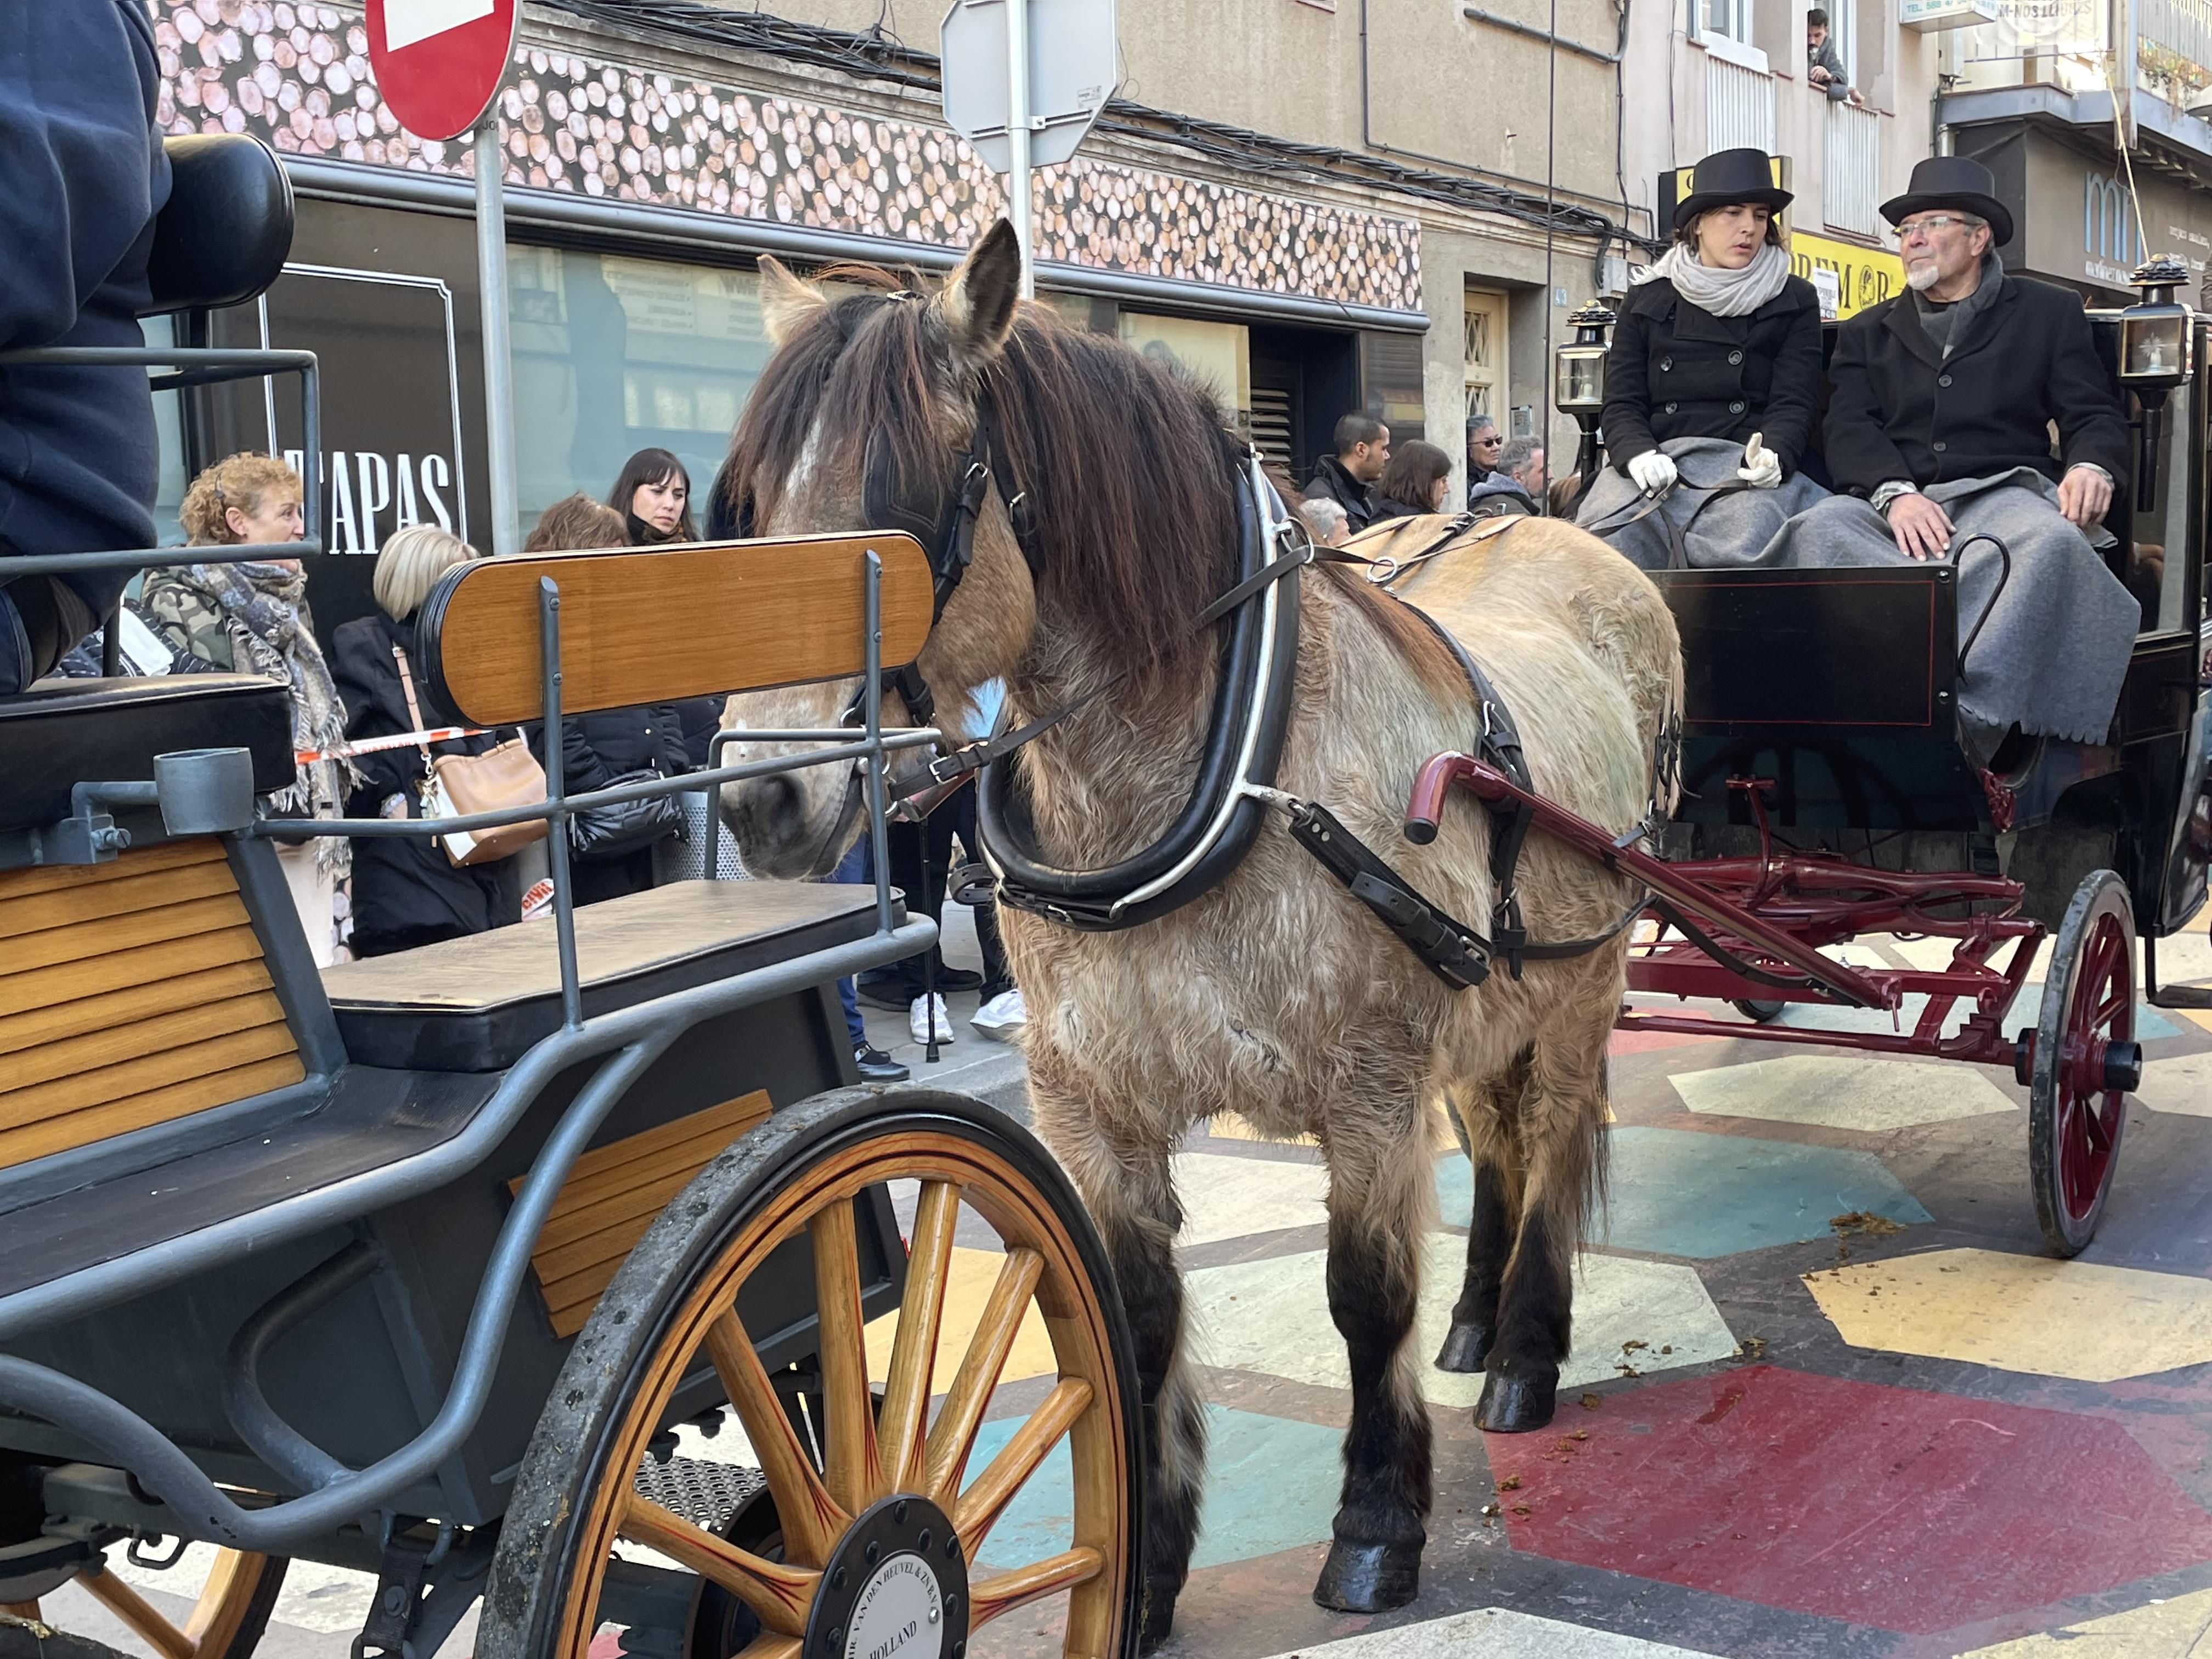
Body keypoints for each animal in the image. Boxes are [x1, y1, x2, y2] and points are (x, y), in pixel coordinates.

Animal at [716, 224, 1681, 1654]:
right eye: (750, 507)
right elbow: (1135, 1322)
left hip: (1583, 981)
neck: (1229, 768)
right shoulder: (1092, 1103)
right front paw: (1150, 1566)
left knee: (1554, 1132)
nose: (759, 804)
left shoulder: (1370, 1090)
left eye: (894, 515)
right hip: (1489, 995)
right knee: (1502, 1139)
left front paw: (1377, 1525)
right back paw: (1474, 1322)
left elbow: (1363, 1299)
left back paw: (1523, 1352)